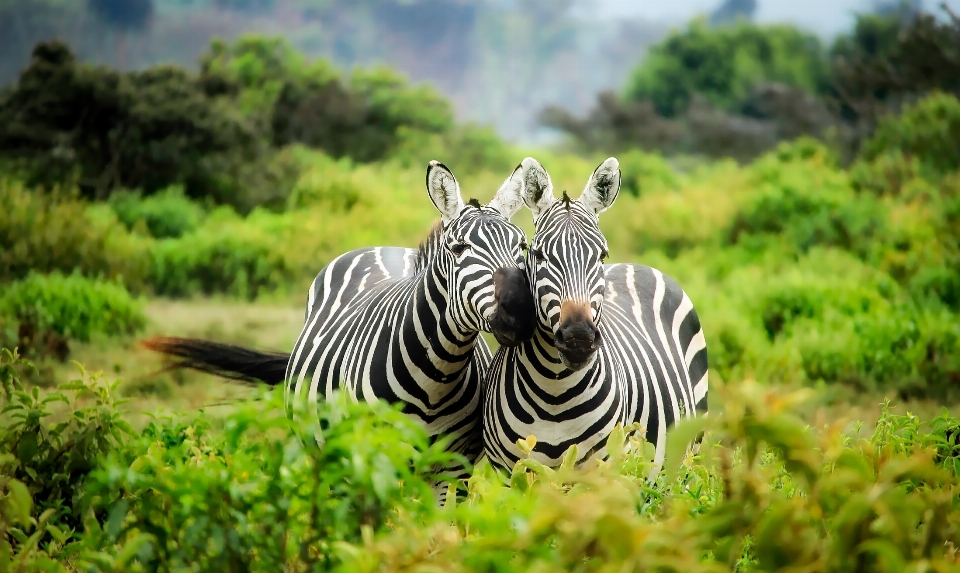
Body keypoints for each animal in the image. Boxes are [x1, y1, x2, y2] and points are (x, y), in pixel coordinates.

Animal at [140, 159, 536, 498]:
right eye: (458, 248)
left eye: (522, 245)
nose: (520, 311)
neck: (436, 378)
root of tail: (382, 247)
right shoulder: (369, 458)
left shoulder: (453, 469)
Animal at [484, 156, 708, 478]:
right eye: (538, 255)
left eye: (601, 255)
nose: (578, 338)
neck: (554, 392)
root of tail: (636, 265)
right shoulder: (510, 474)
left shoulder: (602, 472)